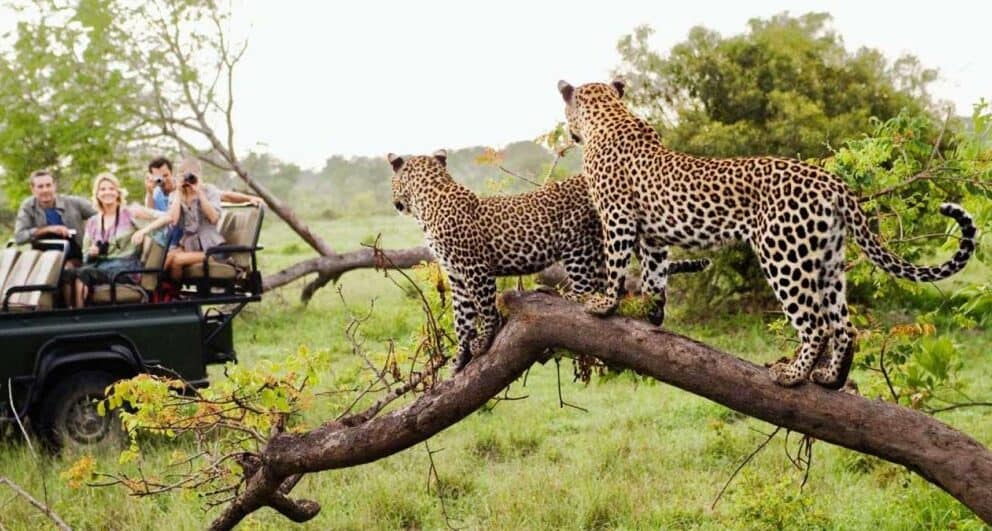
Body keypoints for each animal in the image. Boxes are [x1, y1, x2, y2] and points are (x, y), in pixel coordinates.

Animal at [388, 149, 709, 372]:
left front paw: (484, 340)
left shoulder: (475, 268)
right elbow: (462, 318)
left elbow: (485, 309)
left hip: (578, 245)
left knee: (588, 290)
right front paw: (459, 358)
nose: (395, 203)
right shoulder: (456, 276)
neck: (428, 202)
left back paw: (560, 294)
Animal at [556, 79, 978, 389]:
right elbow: (655, 276)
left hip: (783, 254)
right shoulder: (654, 236)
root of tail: (833, 182)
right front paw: (651, 313)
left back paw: (792, 375)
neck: (610, 115)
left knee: (816, 324)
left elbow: (616, 264)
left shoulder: (617, 217)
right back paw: (829, 378)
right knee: (844, 325)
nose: (569, 132)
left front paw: (603, 304)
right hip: (827, 260)